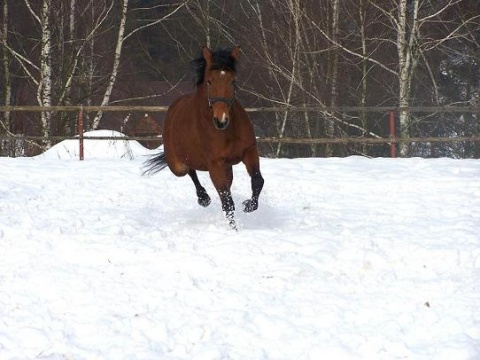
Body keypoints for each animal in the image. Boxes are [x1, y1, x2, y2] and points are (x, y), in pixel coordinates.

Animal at [144, 46, 264, 229]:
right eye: (209, 81)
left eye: (233, 81)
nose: (221, 120)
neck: (227, 132)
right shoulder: (214, 164)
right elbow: (227, 202)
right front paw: (235, 230)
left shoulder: (249, 151)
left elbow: (257, 181)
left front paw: (249, 205)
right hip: (178, 165)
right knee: (190, 171)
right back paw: (203, 198)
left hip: (226, 167)